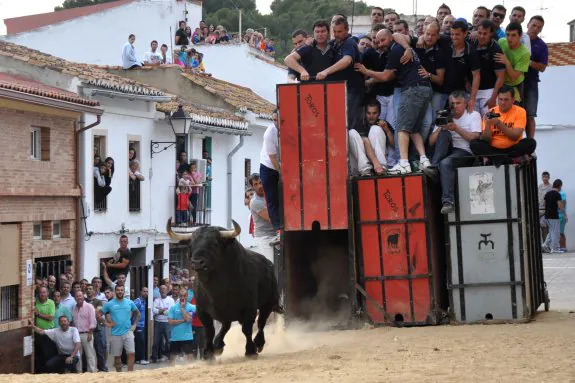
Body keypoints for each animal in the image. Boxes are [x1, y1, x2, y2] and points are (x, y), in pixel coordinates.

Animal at [166, 220, 284, 358]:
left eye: (214, 244)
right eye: (191, 245)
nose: (197, 263)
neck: (217, 290)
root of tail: (269, 264)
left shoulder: (249, 308)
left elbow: (247, 329)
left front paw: (250, 350)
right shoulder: (202, 311)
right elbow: (209, 330)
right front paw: (208, 353)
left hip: (268, 303)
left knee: (261, 323)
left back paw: (258, 344)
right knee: (226, 325)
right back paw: (218, 345)